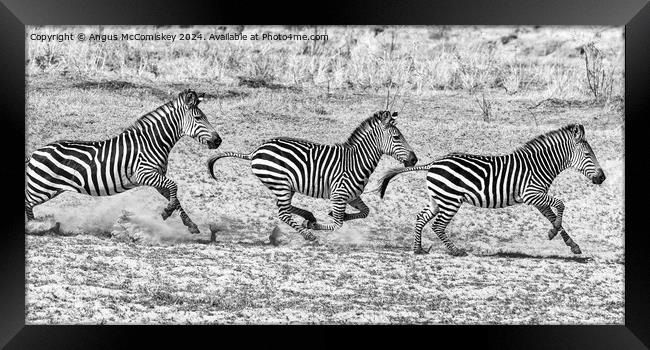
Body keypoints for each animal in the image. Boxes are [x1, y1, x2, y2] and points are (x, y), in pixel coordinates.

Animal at [24, 89, 221, 234]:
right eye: (198, 118)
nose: (218, 141)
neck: (152, 141)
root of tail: (35, 152)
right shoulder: (144, 174)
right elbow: (174, 186)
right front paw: (166, 212)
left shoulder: (157, 178)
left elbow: (175, 197)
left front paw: (190, 224)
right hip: (41, 188)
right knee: (27, 203)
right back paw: (33, 228)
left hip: (48, 189)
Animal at [206, 110, 416, 242]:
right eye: (397, 137)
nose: (415, 160)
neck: (356, 161)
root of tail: (255, 151)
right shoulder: (339, 195)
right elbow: (338, 224)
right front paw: (316, 226)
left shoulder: (352, 195)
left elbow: (365, 212)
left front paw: (329, 216)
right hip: (281, 184)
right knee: (283, 212)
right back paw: (309, 234)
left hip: (284, 186)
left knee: (284, 207)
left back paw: (308, 216)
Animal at [372, 124, 604, 256]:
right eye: (588, 155)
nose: (602, 177)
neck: (540, 165)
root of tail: (433, 164)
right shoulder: (531, 194)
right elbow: (560, 205)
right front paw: (553, 232)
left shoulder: (537, 198)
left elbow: (552, 215)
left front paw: (571, 244)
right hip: (450, 200)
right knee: (438, 226)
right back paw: (456, 251)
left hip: (437, 199)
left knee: (421, 217)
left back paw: (418, 249)